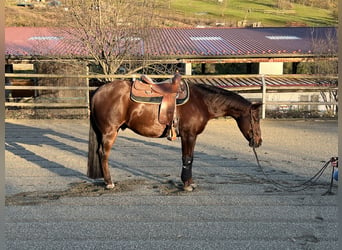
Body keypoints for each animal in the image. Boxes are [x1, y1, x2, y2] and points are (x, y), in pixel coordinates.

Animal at [87, 74, 262, 191]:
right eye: (255, 118)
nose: (259, 142)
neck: (201, 102)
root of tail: (98, 91)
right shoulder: (188, 135)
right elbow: (187, 158)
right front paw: (187, 184)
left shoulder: (191, 136)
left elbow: (190, 158)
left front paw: (189, 182)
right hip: (110, 132)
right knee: (103, 154)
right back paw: (109, 182)